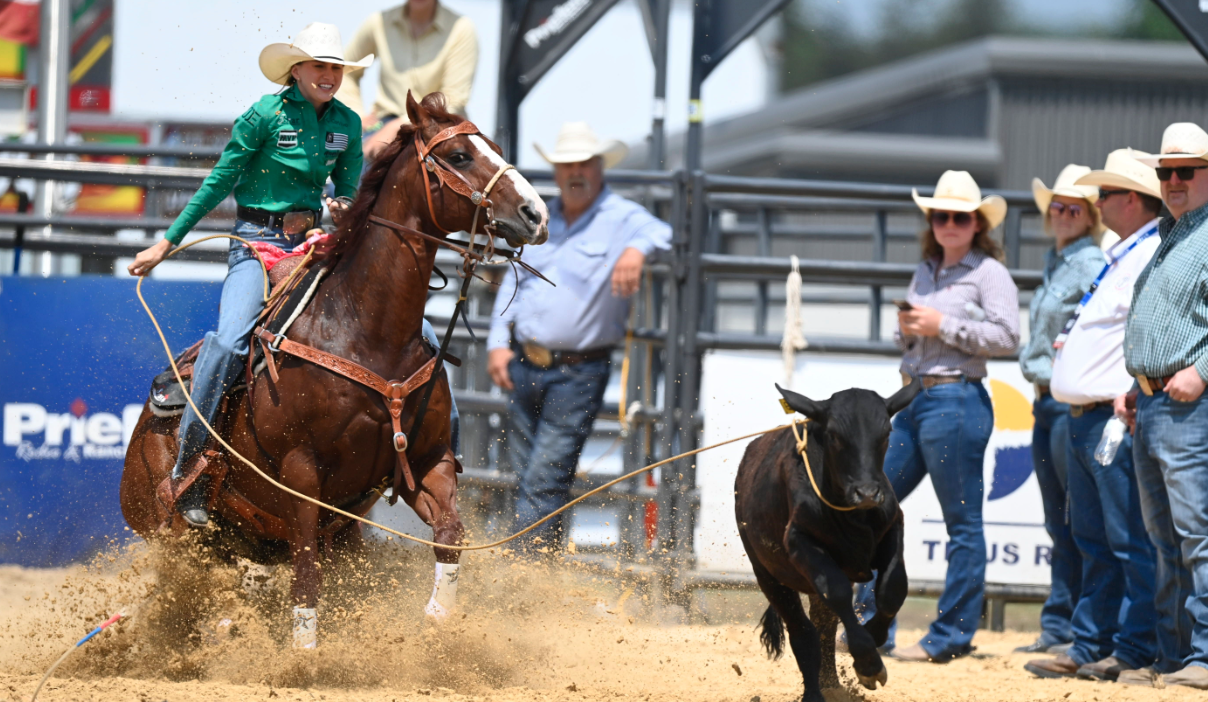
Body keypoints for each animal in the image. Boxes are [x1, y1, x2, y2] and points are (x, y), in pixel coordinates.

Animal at [121, 91, 548, 642]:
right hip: (174, 531)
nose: (535, 213)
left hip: (315, 534)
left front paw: (436, 623)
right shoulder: (302, 473)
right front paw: (306, 652)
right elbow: (307, 578)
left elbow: (450, 534)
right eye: (458, 156)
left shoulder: (426, 461)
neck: (365, 332)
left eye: (493, 147)